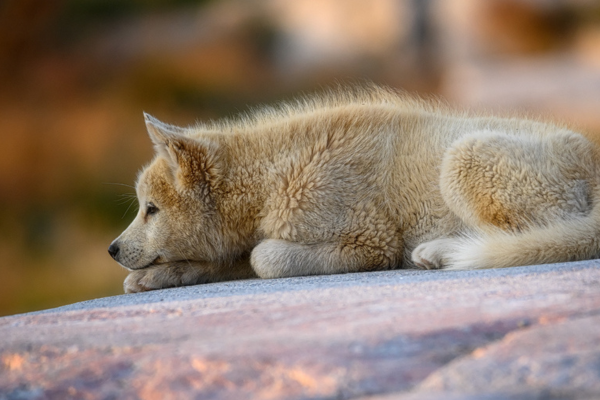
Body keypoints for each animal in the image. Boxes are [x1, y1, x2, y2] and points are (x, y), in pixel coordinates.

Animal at [109, 85, 600, 290]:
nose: (111, 250)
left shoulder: (369, 241)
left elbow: (263, 258)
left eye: (151, 209)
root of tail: (592, 158)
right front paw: (157, 277)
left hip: (464, 157)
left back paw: (441, 252)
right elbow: (232, 261)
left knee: (530, 236)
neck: (275, 177)